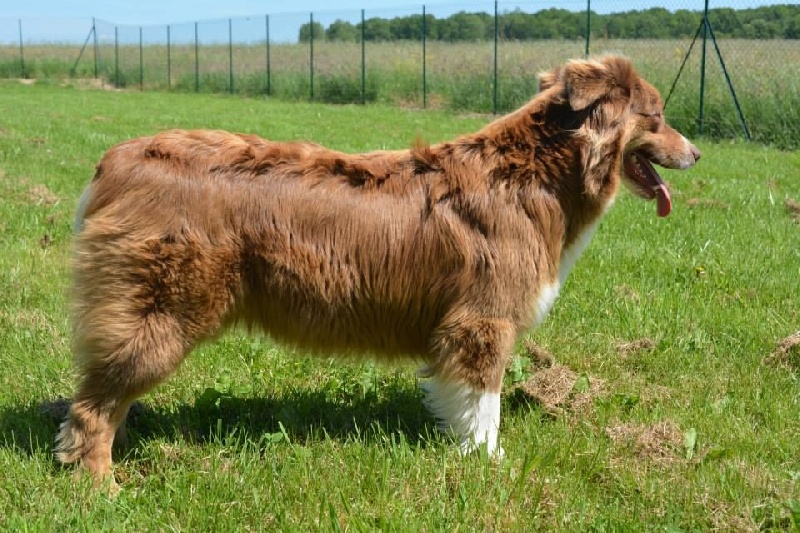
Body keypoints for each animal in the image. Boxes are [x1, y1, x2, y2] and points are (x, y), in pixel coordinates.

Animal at [56, 55, 700, 486]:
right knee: (92, 406)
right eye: (658, 116)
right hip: (164, 310)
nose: (697, 153)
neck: (536, 175)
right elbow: (484, 405)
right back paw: (101, 486)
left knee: (102, 395)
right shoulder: (483, 320)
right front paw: (488, 463)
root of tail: (114, 160)